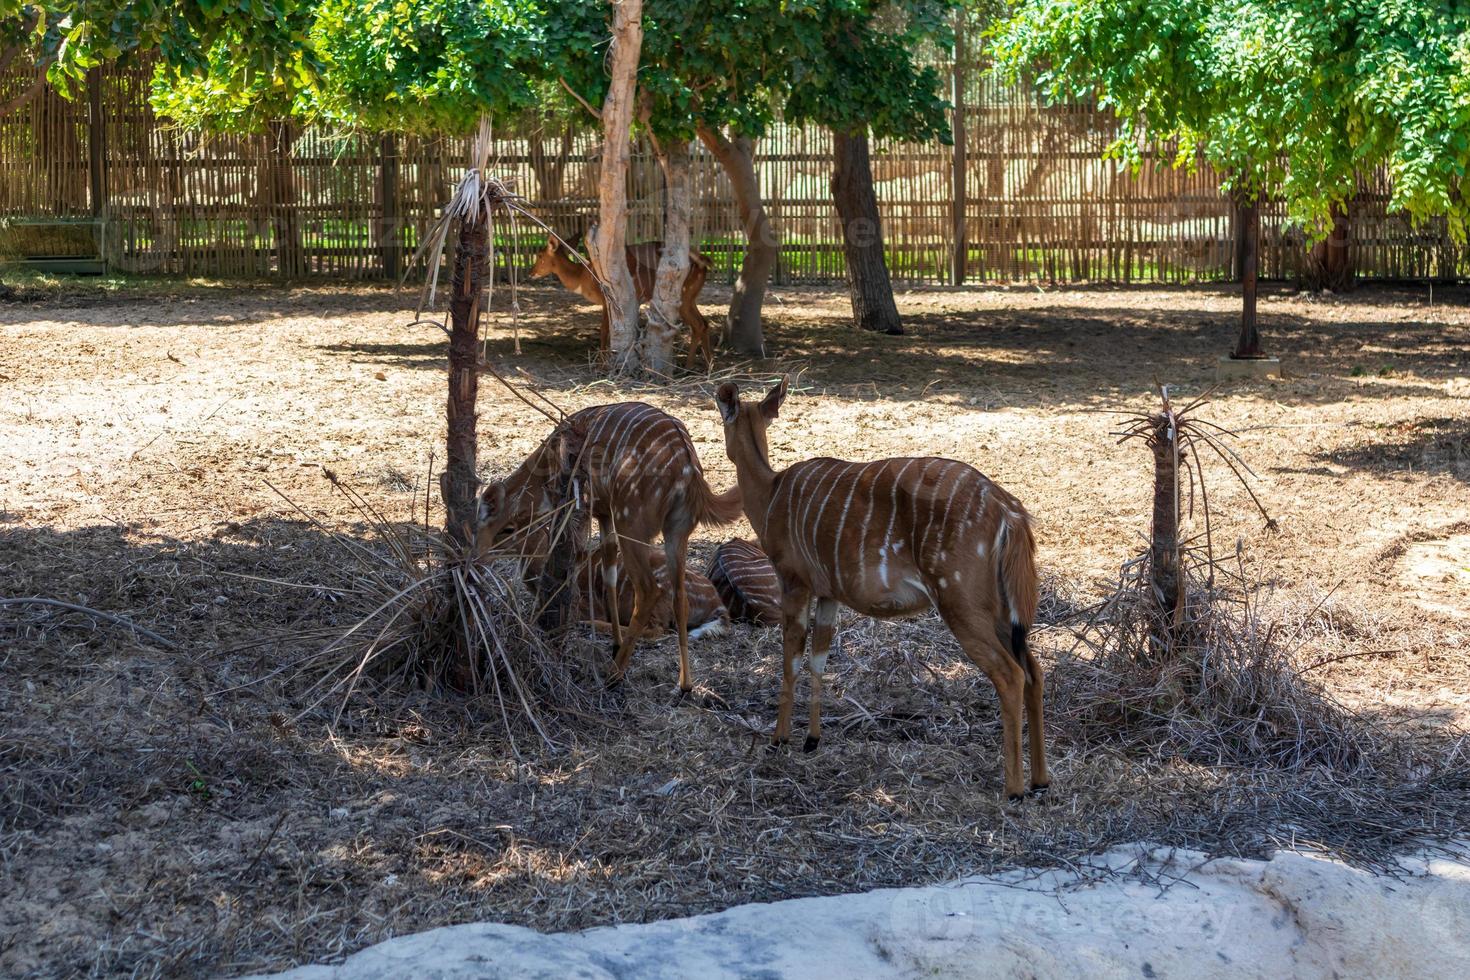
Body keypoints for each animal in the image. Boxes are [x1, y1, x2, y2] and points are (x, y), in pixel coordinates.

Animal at [476, 399, 740, 690]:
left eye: (507, 529)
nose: (478, 558)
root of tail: (688, 466)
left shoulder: (578, 505)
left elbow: (577, 557)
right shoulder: (604, 513)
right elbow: (609, 573)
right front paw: (614, 643)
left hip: (631, 520)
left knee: (648, 590)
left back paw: (614, 673)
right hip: (676, 530)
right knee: (678, 596)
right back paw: (684, 685)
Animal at [529, 239, 717, 370]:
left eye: (540, 255)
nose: (531, 272)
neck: (583, 275)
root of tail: (702, 261)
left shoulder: (607, 300)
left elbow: (605, 329)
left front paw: (602, 363)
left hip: (683, 298)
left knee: (698, 324)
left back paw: (689, 367)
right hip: (691, 298)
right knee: (704, 323)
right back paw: (708, 367)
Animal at [711, 379, 1046, 799]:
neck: (770, 493)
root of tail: (1010, 513)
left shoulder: (794, 581)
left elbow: (790, 659)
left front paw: (780, 738)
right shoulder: (829, 593)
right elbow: (820, 659)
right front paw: (812, 740)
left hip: (961, 601)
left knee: (1011, 674)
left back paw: (1014, 788)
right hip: (1001, 609)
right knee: (1034, 671)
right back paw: (1041, 780)